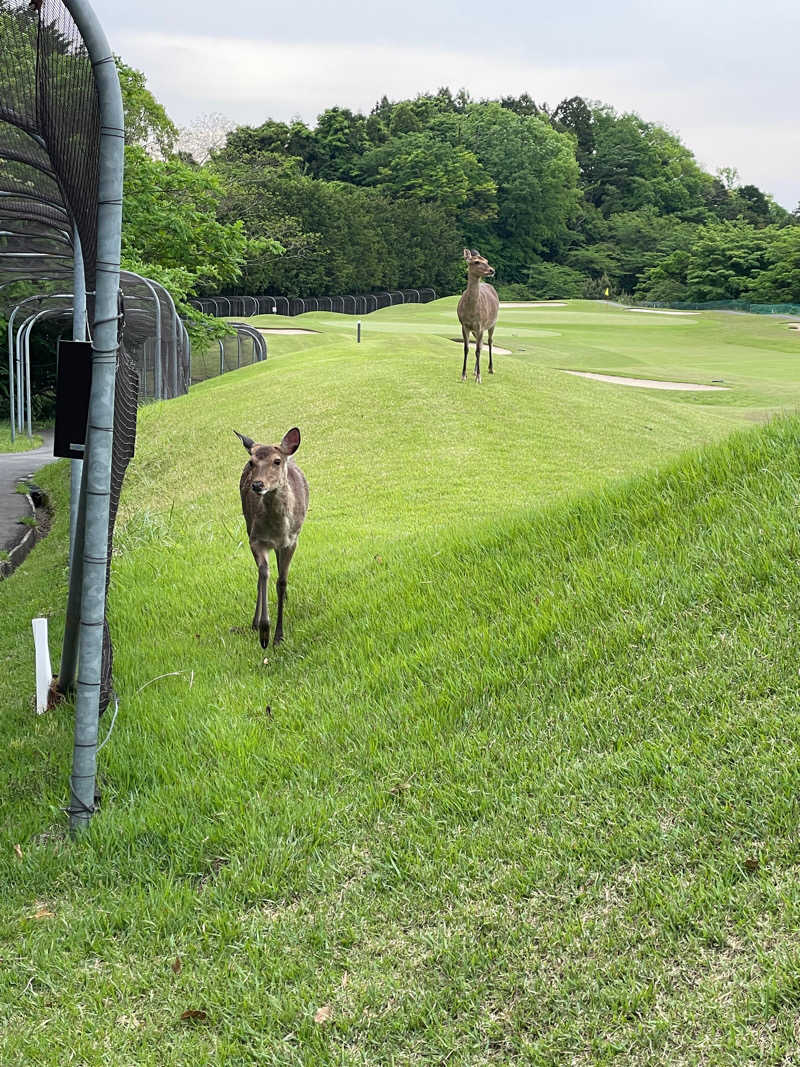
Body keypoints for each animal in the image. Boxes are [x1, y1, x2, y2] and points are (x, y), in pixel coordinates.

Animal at [233, 426, 309, 644]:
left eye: (277, 461)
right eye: (252, 462)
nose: (257, 485)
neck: (277, 530)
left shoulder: (292, 540)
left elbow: (281, 581)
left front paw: (278, 636)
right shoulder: (255, 539)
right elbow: (263, 574)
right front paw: (264, 631)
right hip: (247, 524)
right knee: (261, 574)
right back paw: (255, 622)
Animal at [456, 246, 501, 384]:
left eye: (486, 260)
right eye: (476, 262)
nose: (492, 270)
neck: (471, 312)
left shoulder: (480, 325)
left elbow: (477, 350)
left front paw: (479, 378)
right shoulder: (464, 325)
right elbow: (467, 348)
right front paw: (463, 375)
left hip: (493, 322)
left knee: (489, 342)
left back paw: (490, 369)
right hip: (476, 330)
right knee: (480, 344)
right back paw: (475, 370)